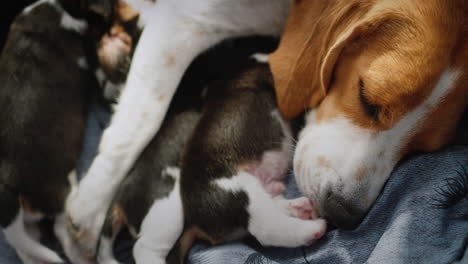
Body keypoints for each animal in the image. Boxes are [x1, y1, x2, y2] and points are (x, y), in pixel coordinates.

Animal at [0, 0, 112, 262]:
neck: (62, 6)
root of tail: (7, 183)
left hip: (27, 223)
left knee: (27, 249)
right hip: (63, 193)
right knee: (63, 233)